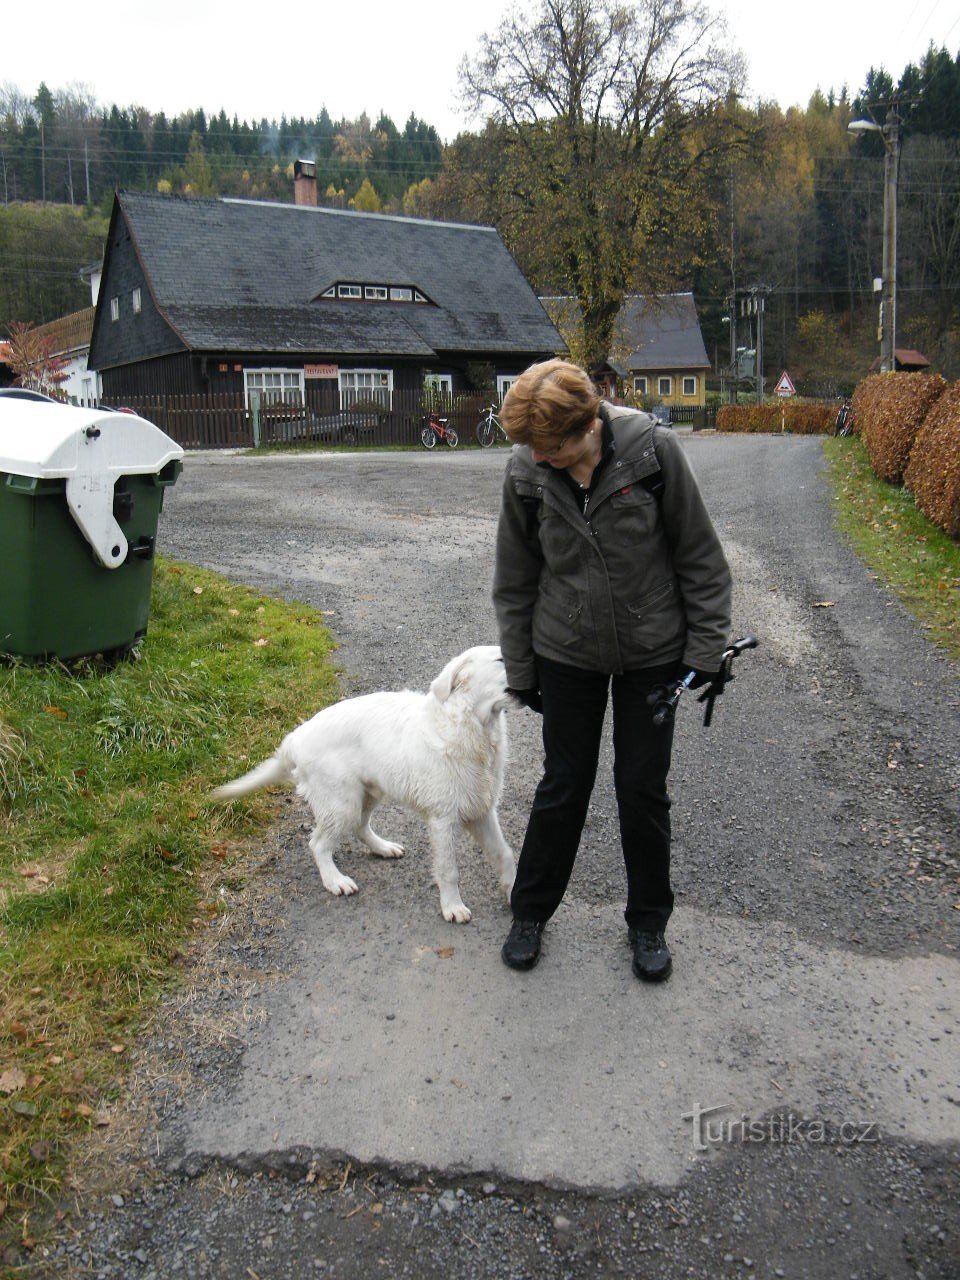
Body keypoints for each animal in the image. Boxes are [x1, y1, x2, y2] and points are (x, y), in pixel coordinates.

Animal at [213, 645, 519, 926]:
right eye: (500, 658)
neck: (471, 726)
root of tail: (294, 738)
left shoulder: (482, 811)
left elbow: (505, 854)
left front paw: (513, 893)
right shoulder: (443, 818)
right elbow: (448, 869)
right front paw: (453, 907)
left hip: (369, 792)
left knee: (360, 827)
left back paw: (383, 848)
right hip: (341, 804)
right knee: (318, 843)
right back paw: (335, 880)